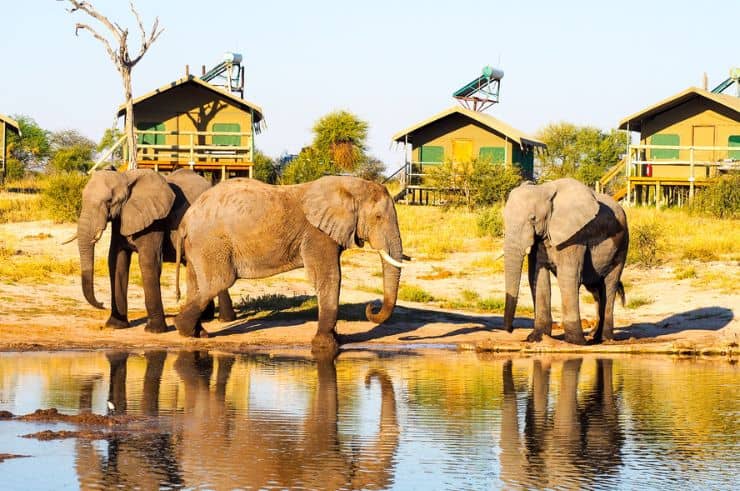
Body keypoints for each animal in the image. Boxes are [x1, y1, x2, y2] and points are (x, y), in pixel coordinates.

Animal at [73, 168, 234, 333]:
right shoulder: (121, 219)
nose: (101, 304)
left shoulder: (155, 222)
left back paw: (225, 319)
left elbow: (148, 262)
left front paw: (154, 330)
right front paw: (115, 326)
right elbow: (116, 262)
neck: (125, 177)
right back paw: (207, 318)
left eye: (109, 201)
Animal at [173, 175, 404, 352]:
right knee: (219, 282)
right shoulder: (317, 234)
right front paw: (326, 346)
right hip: (211, 244)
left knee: (196, 285)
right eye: (378, 217)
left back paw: (198, 333)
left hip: (199, 248)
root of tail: (185, 220)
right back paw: (186, 329)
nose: (371, 307)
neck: (348, 186)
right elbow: (329, 277)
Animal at [502, 178, 629, 344]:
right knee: (596, 288)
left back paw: (605, 339)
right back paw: (595, 337)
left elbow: (568, 277)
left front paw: (574, 342)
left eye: (533, 218)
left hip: (621, 246)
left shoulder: (574, 235)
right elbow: (538, 277)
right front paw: (536, 339)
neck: (544, 190)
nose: (510, 330)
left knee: (609, 284)